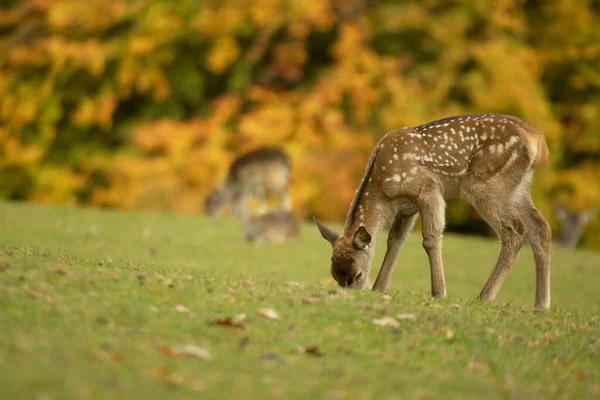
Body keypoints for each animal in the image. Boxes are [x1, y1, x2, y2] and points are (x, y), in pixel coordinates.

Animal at [314, 112, 552, 310]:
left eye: (357, 275)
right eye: (335, 277)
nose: (353, 296)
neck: (383, 192)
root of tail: (537, 139)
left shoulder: (428, 188)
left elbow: (430, 238)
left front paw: (439, 293)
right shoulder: (406, 209)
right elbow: (395, 242)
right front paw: (379, 289)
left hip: (487, 184)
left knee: (515, 229)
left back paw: (485, 296)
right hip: (518, 188)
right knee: (540, 227)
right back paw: (541, 305)